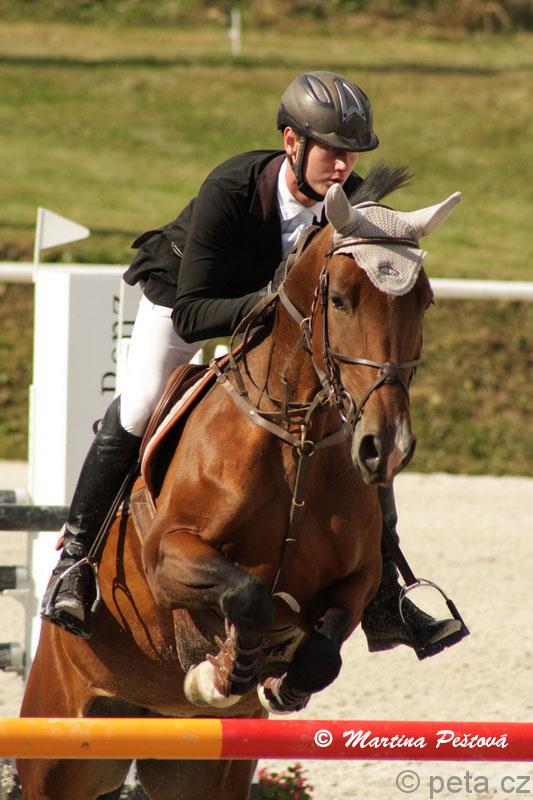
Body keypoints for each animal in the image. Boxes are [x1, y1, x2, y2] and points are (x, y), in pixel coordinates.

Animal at [17, 177, 461, 800]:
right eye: (341, 298)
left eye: (425, 301)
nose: (386, 447)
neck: (298, 440)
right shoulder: (168, 557)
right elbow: (247, 596)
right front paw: (218, 673)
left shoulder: (358, 578)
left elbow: (322, 652)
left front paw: (279, 683)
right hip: (57, 747)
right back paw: (71, 591)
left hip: (199, 773)